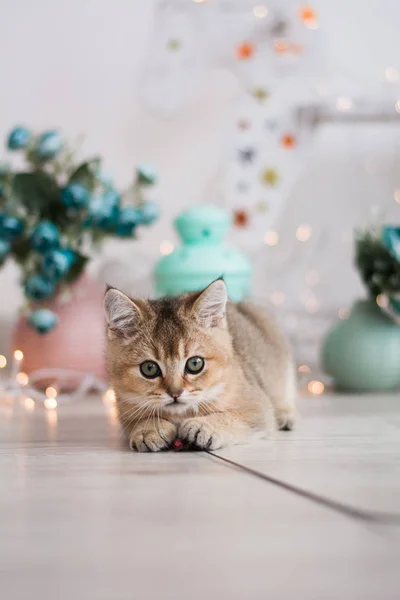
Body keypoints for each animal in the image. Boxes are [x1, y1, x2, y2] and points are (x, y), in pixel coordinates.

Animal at [104, 278, 296, 452]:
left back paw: (285, 415)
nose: (175, 393)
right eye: (149, 368)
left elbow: (235, 416)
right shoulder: (123, 409)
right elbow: (137, 419)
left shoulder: (258, 407)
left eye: (195, 364)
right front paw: (148, 429)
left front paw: (205, 426)